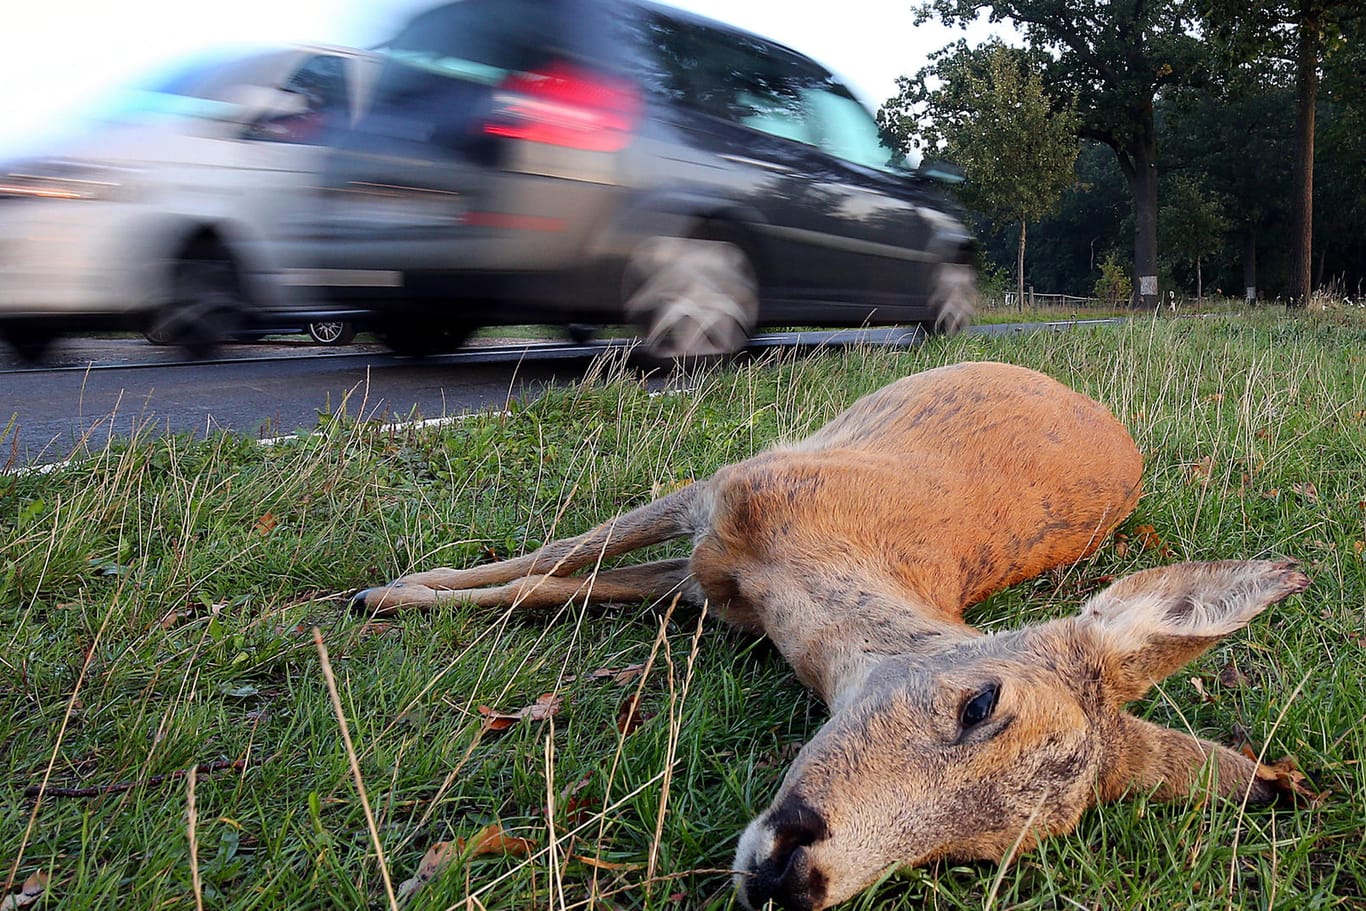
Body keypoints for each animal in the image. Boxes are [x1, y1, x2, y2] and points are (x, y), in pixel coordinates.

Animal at [355, 363, 1311, 911]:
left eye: (978, 853)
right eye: (980, 701)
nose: (797, 880)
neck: (801, 573)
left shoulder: (709, 583)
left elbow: (557, 586)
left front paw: (402, 593)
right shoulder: (725, 489)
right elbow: (557, 559)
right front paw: (389, 590)